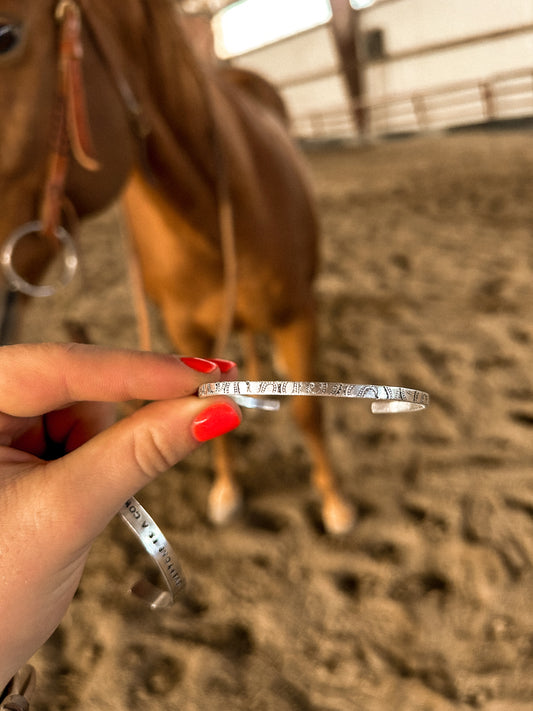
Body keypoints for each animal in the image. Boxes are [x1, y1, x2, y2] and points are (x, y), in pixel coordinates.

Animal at [0, 0, 354, 536]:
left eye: (6, 36)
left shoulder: (298, 314)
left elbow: (309, 411)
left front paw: (334, 501)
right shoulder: (186, 329)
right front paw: (227, 490)